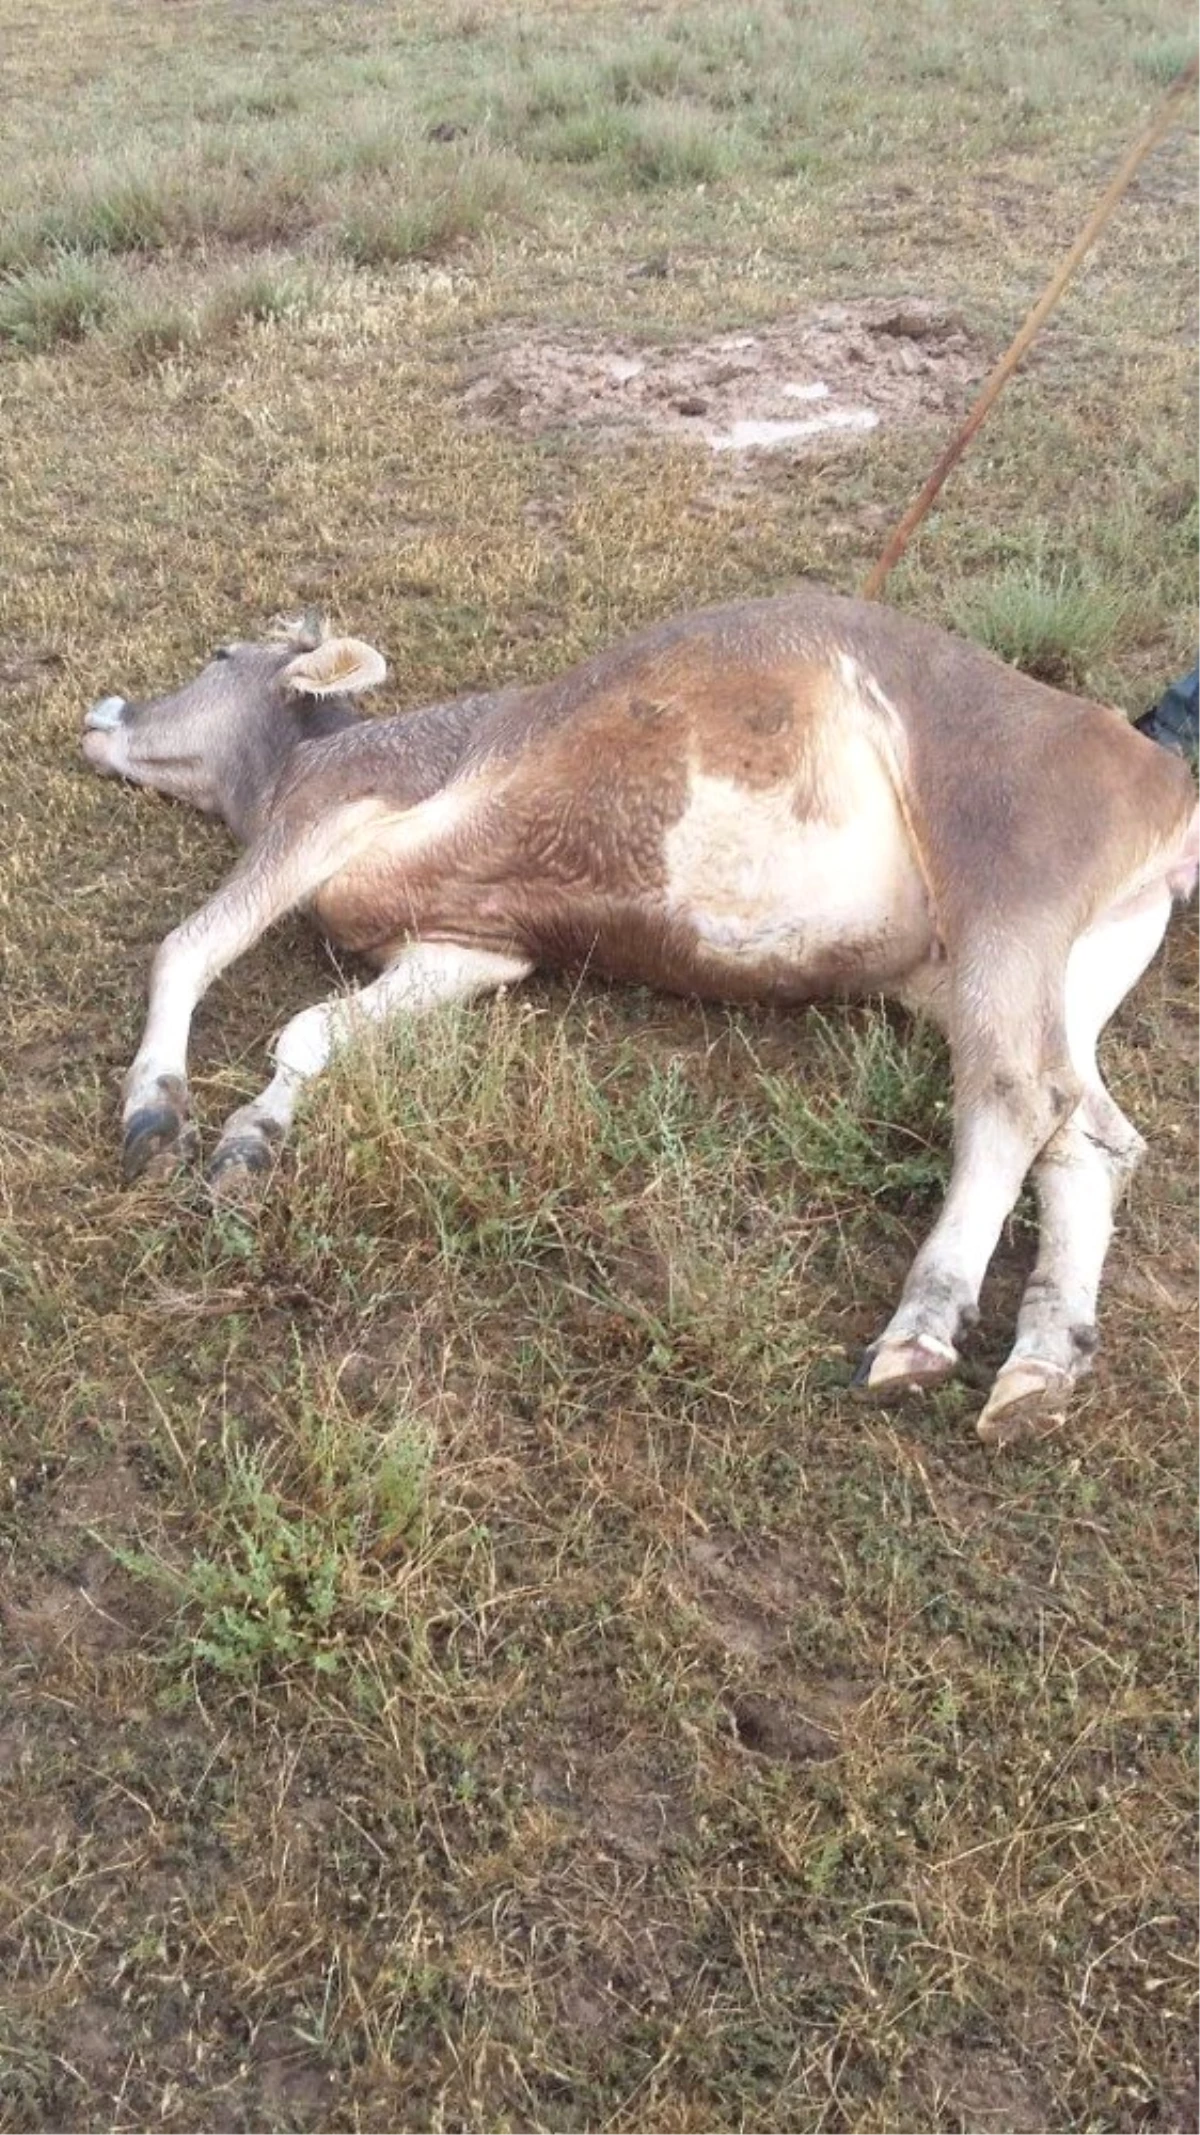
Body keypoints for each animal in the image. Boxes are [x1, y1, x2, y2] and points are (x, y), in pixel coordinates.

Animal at [84, 593, 1195, 1443]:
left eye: (220, 653)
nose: (103, 708)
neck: (302, 759)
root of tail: (1160, 776)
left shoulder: (328, 813)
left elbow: (188, 948)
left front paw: (156, 1109)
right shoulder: (467, 945)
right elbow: (319, 1032)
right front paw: (251, 1140)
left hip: (1007, 873)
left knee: (1017, 1090)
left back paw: (922, 1329)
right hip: (1039, 960)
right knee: (1090, 1133)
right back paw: (1041, 1365)